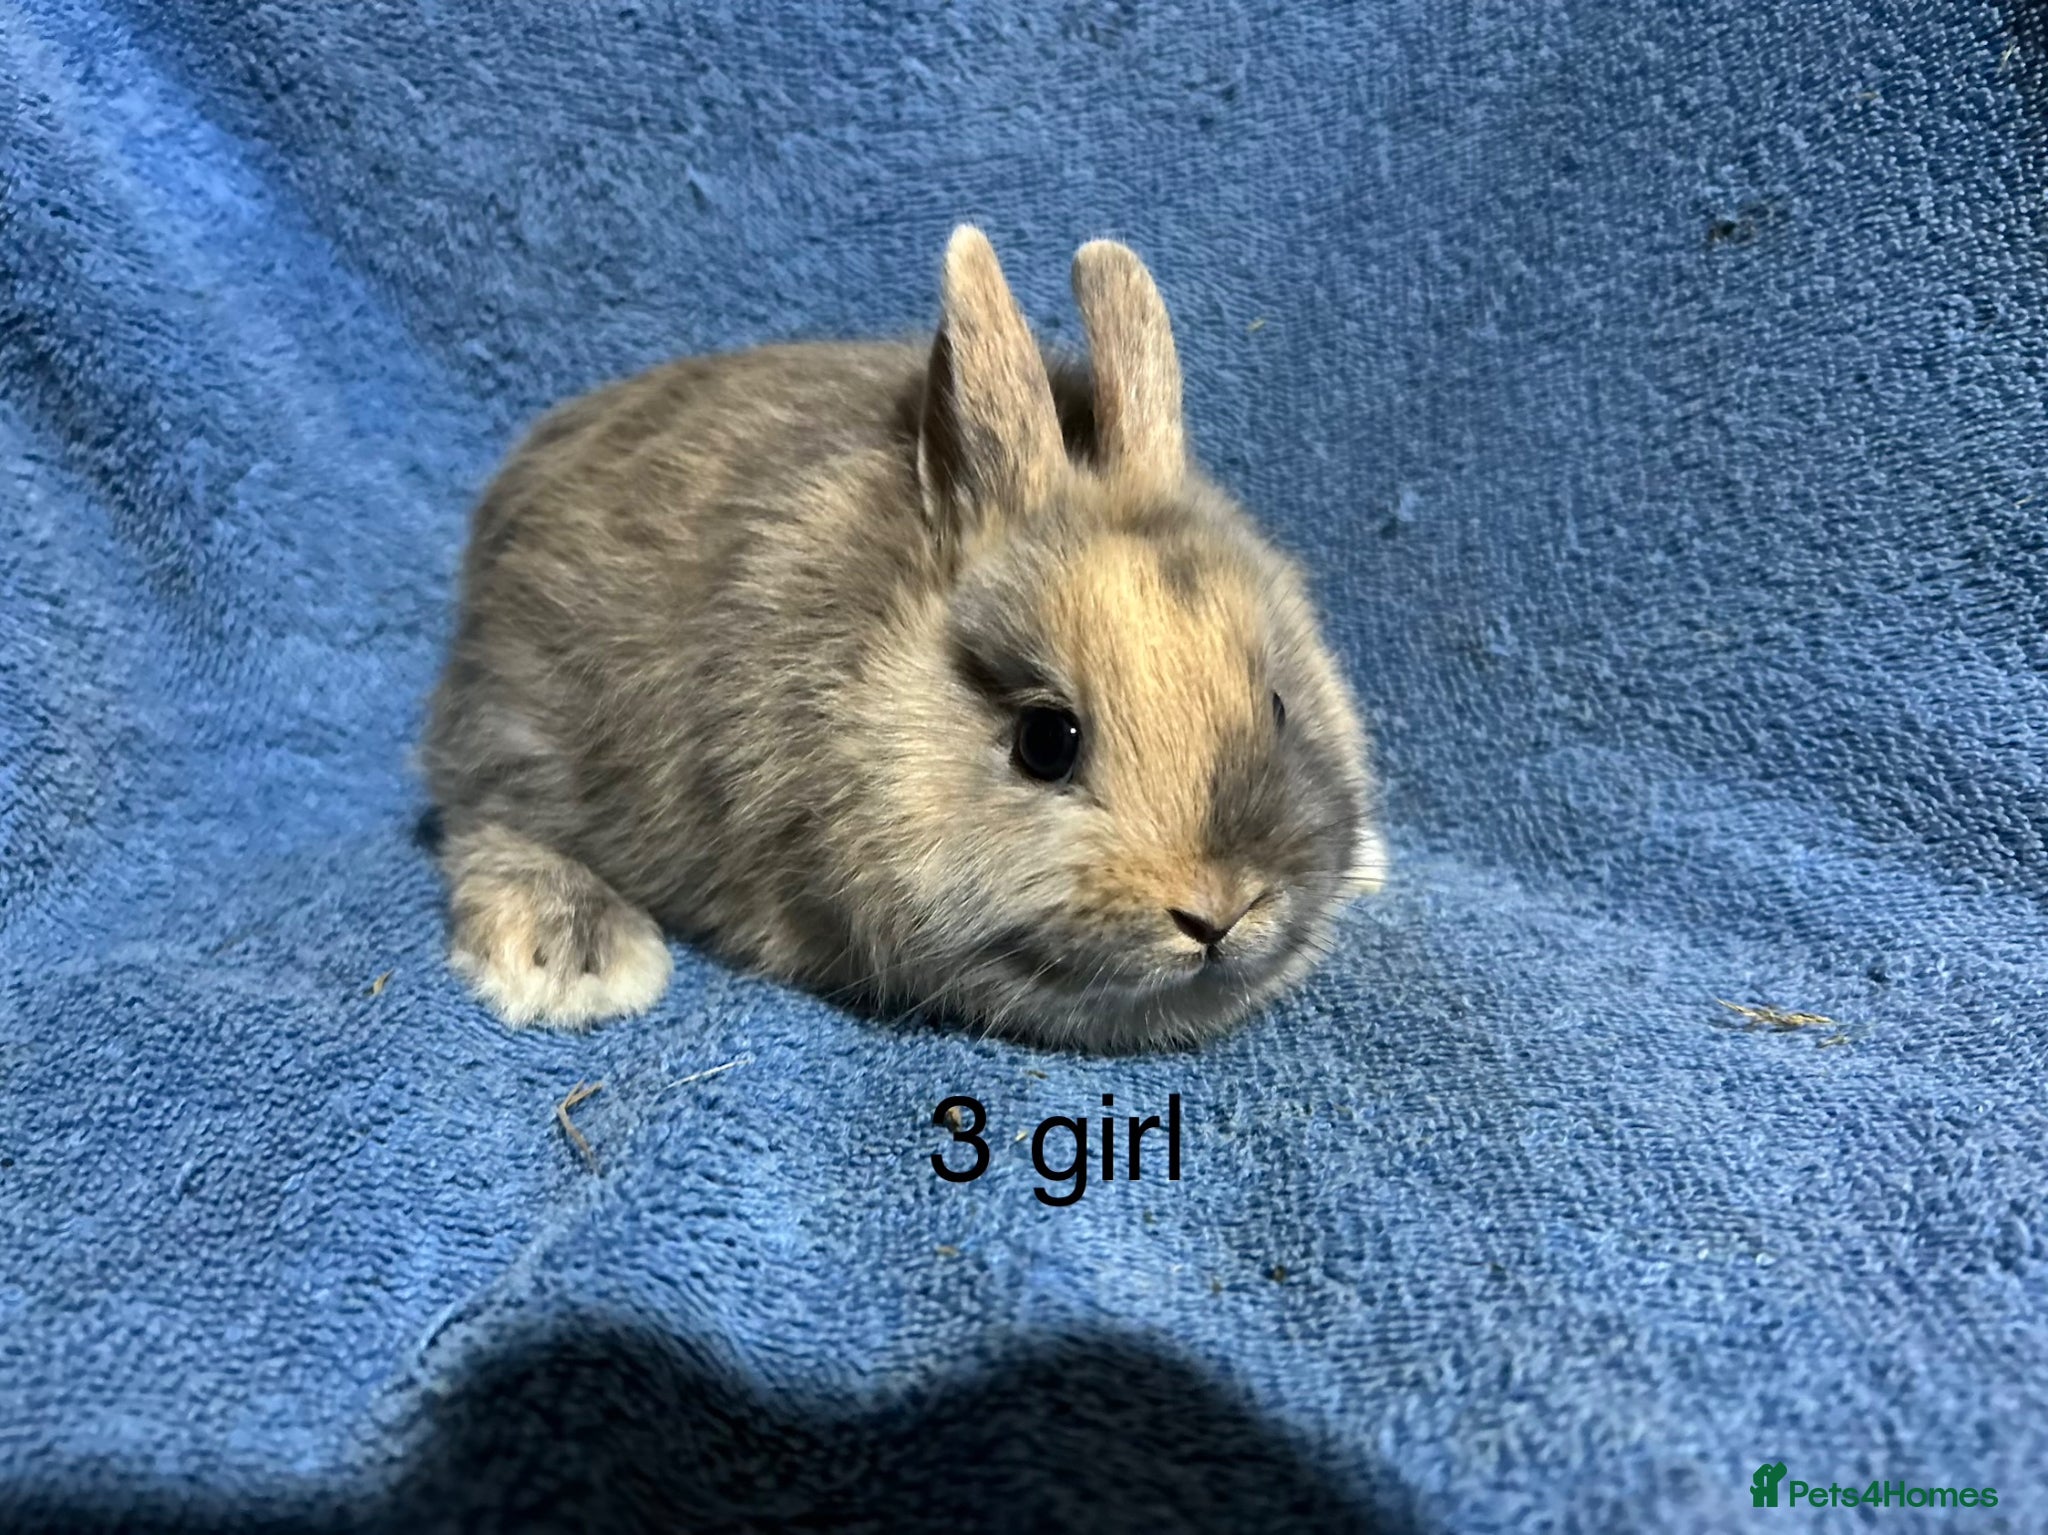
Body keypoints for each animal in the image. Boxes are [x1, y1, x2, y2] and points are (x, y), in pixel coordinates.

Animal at [421, 226, 1387, 1050]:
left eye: (1278, 705)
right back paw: (576, 954)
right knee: (484, 816)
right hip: (522, 722)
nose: (1220, 911)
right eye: (1046, 741)